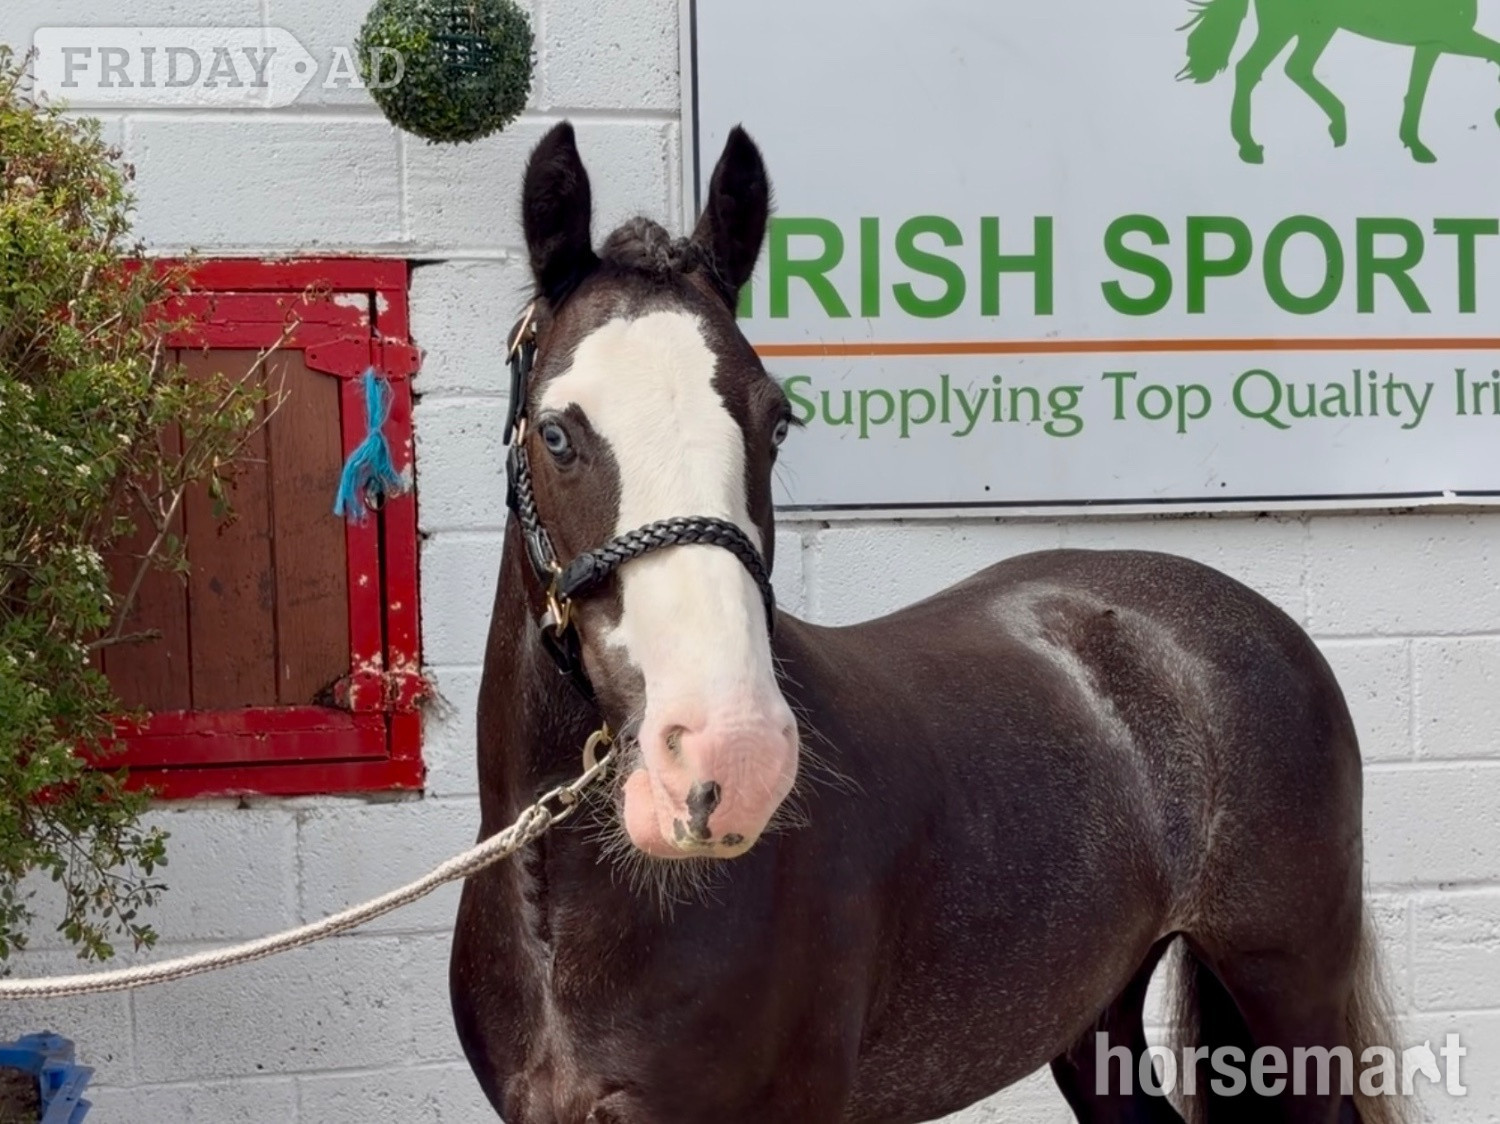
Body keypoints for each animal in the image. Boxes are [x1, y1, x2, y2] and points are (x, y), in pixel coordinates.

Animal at [448, 120, 1407, 1124]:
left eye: (776, 421)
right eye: (557, 431)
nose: (729, 758)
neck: (566, 914)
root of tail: (1252, 619)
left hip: (1290, 996)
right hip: (1094, 1018)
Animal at [1178, 0, 1500, 163]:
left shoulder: (1433, 43)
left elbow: (1416, 91)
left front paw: (1414, 143)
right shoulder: (1451, 36)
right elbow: (1495, 52)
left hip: (1316, 27)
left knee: (1294, 68)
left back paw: (1337, 123)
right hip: (1290, 25)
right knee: (1252, 68)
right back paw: (1248, 146)